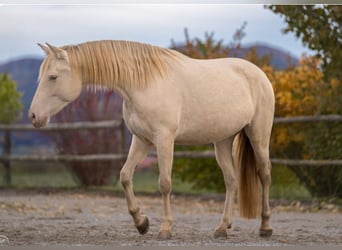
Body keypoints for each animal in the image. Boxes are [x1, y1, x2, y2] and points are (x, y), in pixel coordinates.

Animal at [29, 40, 276, 239]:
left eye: (53, 77)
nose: (33, 116)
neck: (143, 83)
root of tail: (260, 75)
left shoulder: (164, 139)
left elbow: (164, 184)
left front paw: (165, 229)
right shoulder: (141, 140)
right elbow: (125, 176)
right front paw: (141, 223)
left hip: (258, 136)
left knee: (264, 174)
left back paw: (265, 227)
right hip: (222, 141)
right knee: (231, 180)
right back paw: (223, 228)